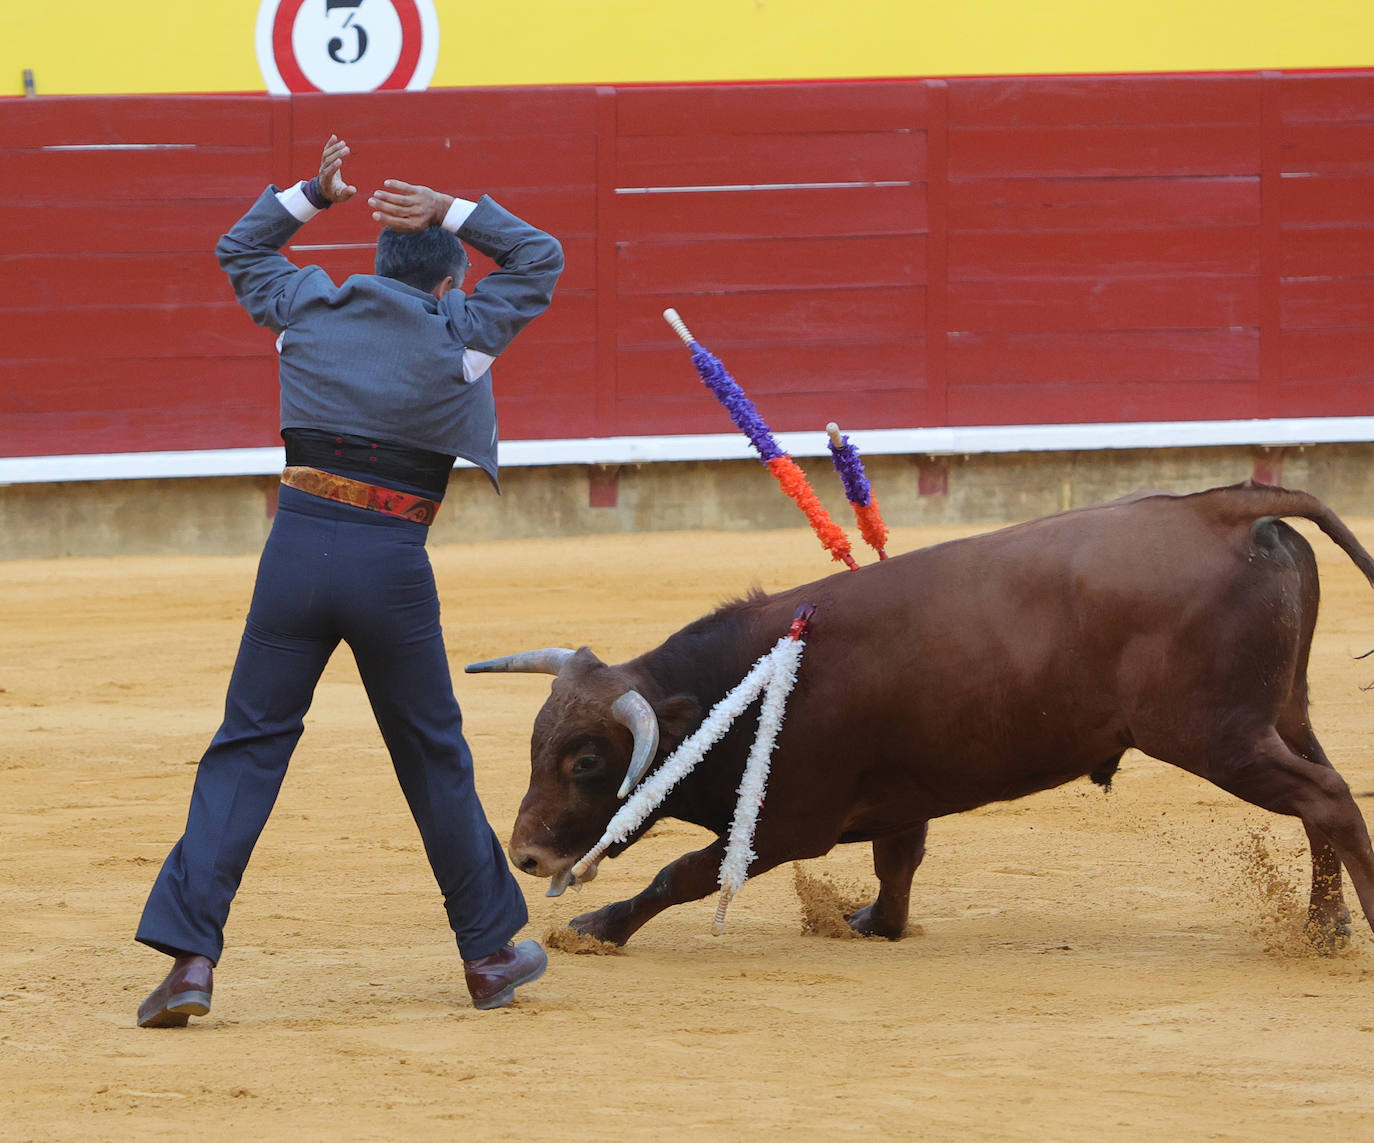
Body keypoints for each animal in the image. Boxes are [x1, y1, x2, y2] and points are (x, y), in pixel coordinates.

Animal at [467, 486, 1374, 950]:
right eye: (538, 743)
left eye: (588, 759)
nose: (526, 851)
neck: (740, 689)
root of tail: (1218, 508)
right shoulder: (901, 798)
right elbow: (897, 865)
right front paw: (873, 923)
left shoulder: (788, 821)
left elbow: (686, 872)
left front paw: (597, 925)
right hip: (1282, 714)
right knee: (1323, 802)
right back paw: (1321, 925)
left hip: (1215, 734)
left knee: (1325, 798)